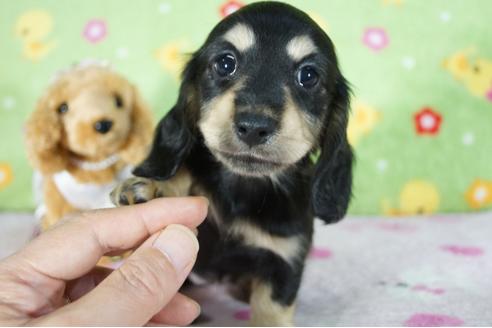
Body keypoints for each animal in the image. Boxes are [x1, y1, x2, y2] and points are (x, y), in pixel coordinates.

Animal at [110, 1, 354, 326]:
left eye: (309, 76)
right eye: (226, 63)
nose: (254, 127)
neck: (243, 189)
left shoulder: (284, 264)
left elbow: (271, 312)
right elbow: (184, 177)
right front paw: (150, 188)